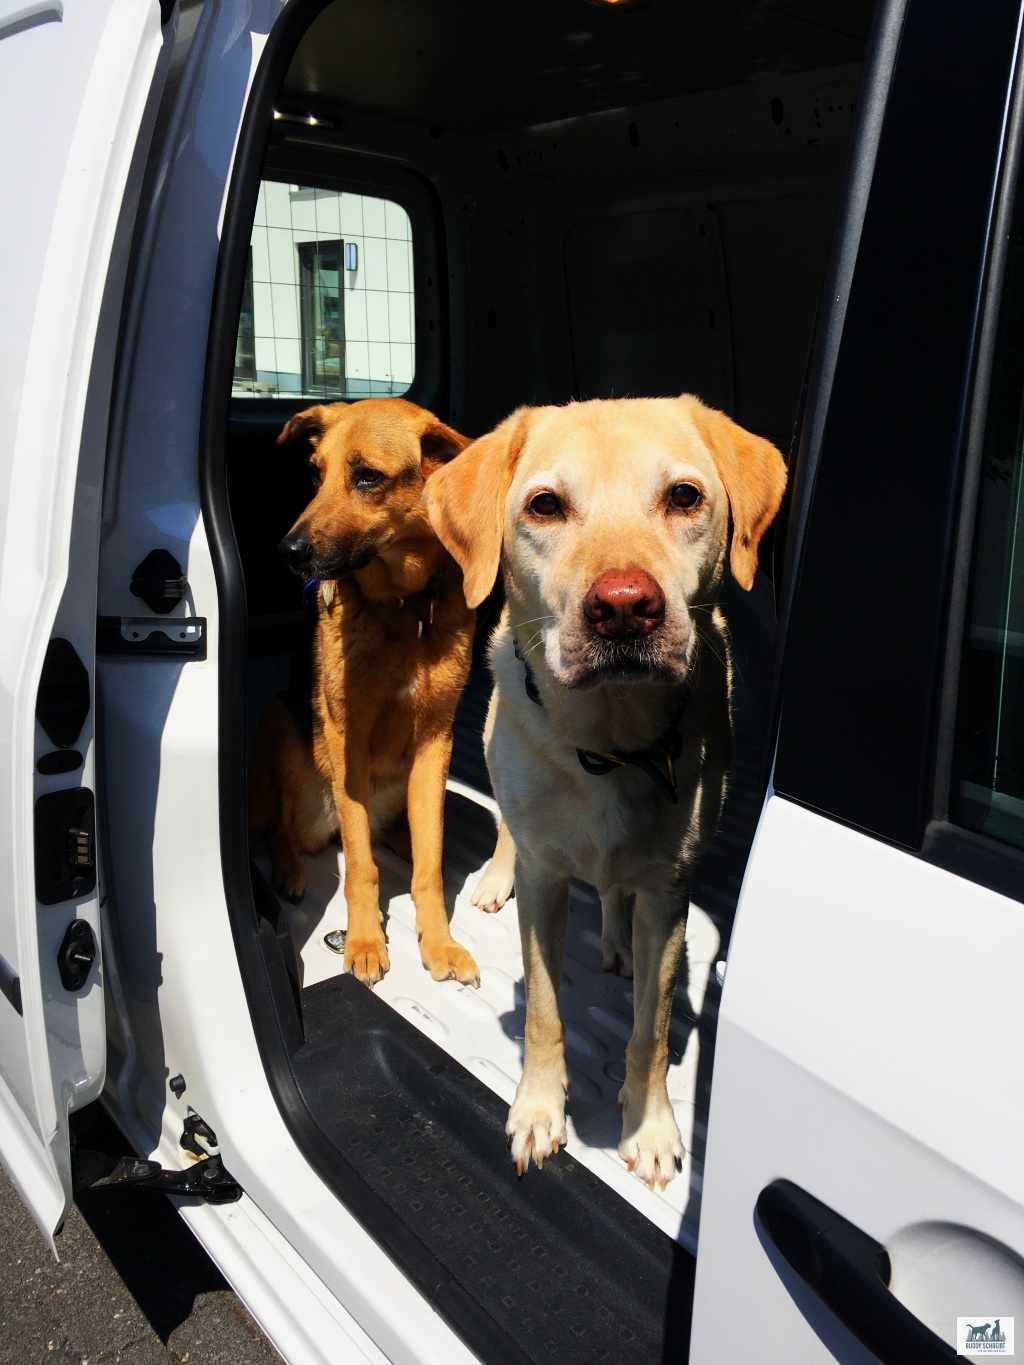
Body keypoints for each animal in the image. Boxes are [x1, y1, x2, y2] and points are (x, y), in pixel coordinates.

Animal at [248, 397, 480, 989]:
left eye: (368, 477)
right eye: (315, 475)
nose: (286, 552)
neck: (402, 607)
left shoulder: (435, 743)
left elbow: (429, 865)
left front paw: (440, 942)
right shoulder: (345, 741)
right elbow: (360, 866)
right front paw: (366, 941)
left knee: (406, 834)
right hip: (283, 729)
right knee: (286, 829)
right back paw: (290, 868)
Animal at [425, 395, 786, 1187]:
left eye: (684, 496)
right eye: (545, 505)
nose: (624, 606)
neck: (612, 743)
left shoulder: (670, 894)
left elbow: (650, 1028)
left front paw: (648, 1127)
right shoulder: (546, 882)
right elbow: (543, 1012)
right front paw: (538, 1109)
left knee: (617, 891)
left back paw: (616, 937)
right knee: (509, 825)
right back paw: (494, 877)